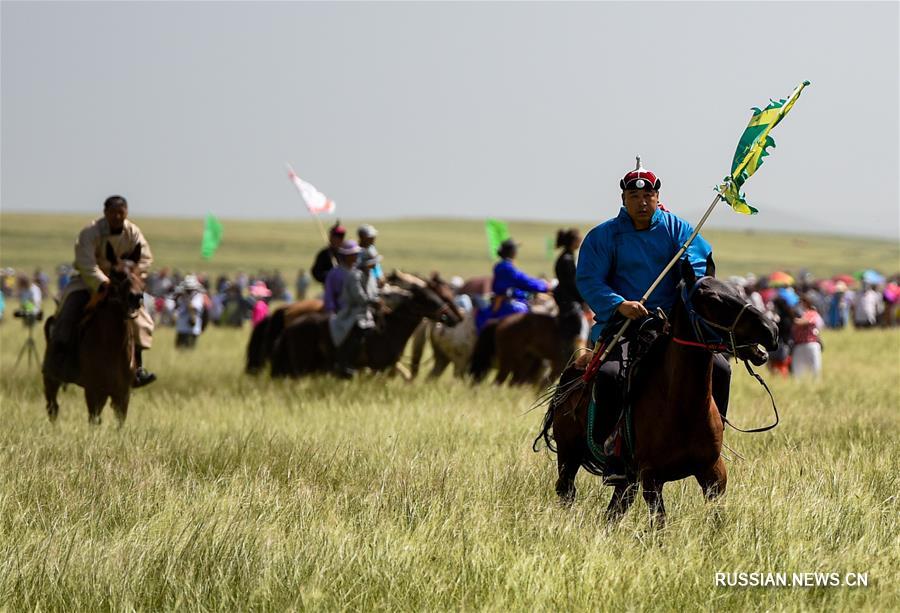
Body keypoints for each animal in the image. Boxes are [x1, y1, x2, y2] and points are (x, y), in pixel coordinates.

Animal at [42, 241, 144, 424]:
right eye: (115, 273)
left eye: (139, 272)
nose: (136, 297)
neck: (112, 347)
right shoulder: (94, 391)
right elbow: (94, 421)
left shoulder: (122, 394)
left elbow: (119, 423)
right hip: (51, 378)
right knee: (53, 407)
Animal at [536, 260, 780, 524]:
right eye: (714, 299)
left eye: (737, 291)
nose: (771, 330)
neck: (682, 407)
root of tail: (575, 369)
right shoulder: (652, 478)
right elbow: (660, 522)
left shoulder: (713, 473)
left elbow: (717, 518)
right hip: (568, 454)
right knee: (567, 491)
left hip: (626, 479)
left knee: (615, 508)